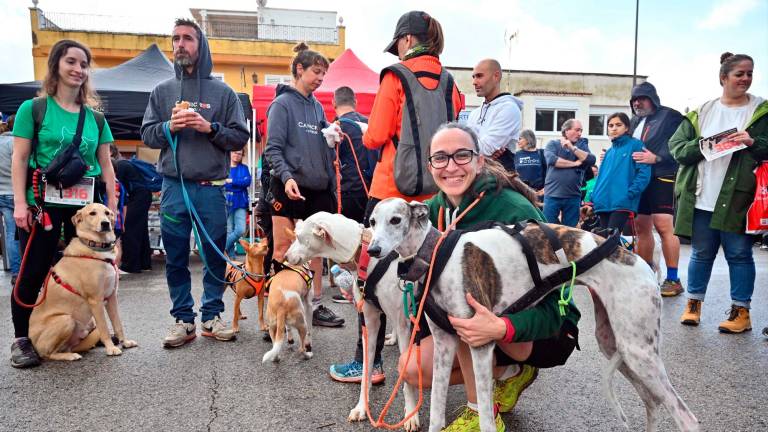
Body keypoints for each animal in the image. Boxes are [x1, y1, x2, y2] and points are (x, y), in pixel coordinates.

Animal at [27, 202, 139, 362]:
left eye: (107, 213)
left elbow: (118, 324)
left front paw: (125, 342)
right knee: (48, 354)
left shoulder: (112, 297)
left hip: (87, 324)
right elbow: (104, 328)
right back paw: (69, 356)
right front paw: (111, 348)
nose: (105, 223)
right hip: (66, 320)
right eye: (92, 213)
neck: (97, 247)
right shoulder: (96, 301)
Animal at [262, 228, 314, 362]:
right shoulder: (308, 304)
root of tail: (281, 307)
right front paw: (309, 343)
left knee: (275, 345)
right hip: (301, 323)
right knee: (301, 348)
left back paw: (276, 358)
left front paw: (290, 339)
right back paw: (307, 354)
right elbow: (310, 329)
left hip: (272, 327)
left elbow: (287, 329)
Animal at [366, 198, 704, 432]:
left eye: (396, 220)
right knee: (652, 402)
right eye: (371, 221)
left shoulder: (479, 342)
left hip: (639, 352)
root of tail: (640, 261)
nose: (373, 251)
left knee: (687, 417)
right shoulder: (446, 342)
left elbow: (486, 419)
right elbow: (435, 413)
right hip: (617, 345)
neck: (436, 254)